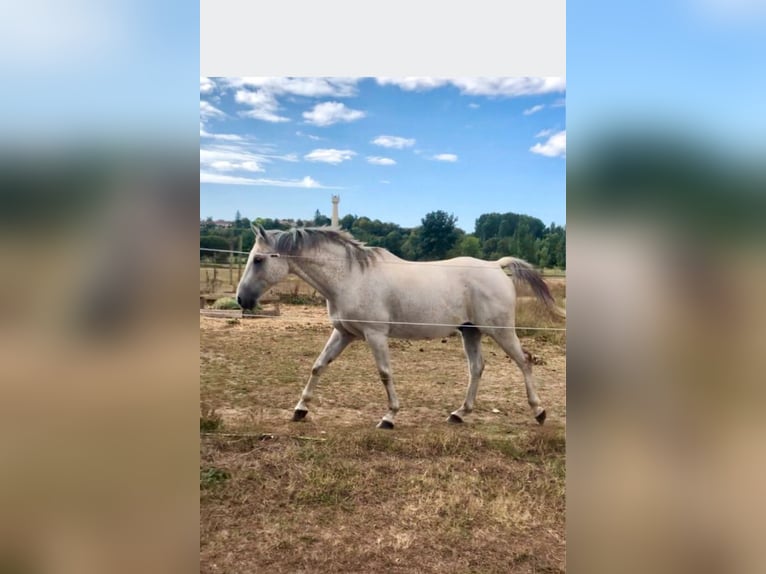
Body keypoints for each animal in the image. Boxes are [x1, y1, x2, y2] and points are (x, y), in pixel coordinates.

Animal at [237, 227, 568, 430]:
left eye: (258, 259)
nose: (242, 299)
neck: (350, 277)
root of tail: (496, 266)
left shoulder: (375, 335)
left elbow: (385, 374)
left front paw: (389, 417)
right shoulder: (344, 334)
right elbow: (318, 366)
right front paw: (300, 409)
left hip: (500, 331)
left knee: (524, 361)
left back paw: (539, 412)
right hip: (470, 331)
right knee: (477, 368)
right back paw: (459, 413)